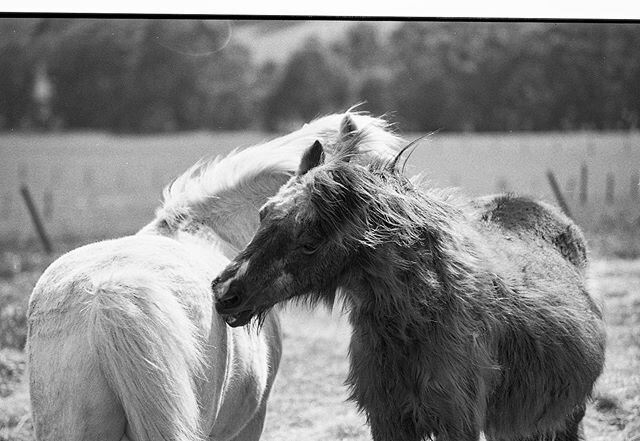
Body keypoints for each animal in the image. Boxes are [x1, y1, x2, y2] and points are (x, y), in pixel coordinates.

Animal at [214, 135, 604, 440]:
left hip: (566, 417)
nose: (225, 293)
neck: (416, 321)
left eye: (310, 241)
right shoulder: (387, 418)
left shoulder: (457, 421)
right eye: (263, 214)